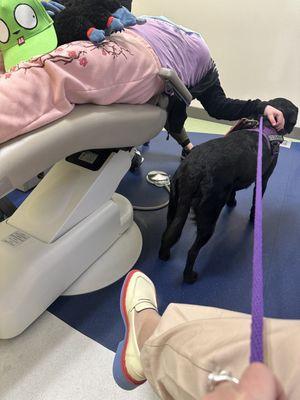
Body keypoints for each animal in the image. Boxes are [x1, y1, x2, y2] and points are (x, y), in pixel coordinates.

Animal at [159, 98, 298, 282]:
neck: (266, 127)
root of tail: (194, 170)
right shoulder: (263, 179)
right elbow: (255, 204)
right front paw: (254, 218)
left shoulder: (234, 181)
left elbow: (233, 192)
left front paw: (231, 202)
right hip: (208, 216)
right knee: (192, 251)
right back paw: (189, 276)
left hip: (174, 205)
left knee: (168, 234)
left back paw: (164, 255)